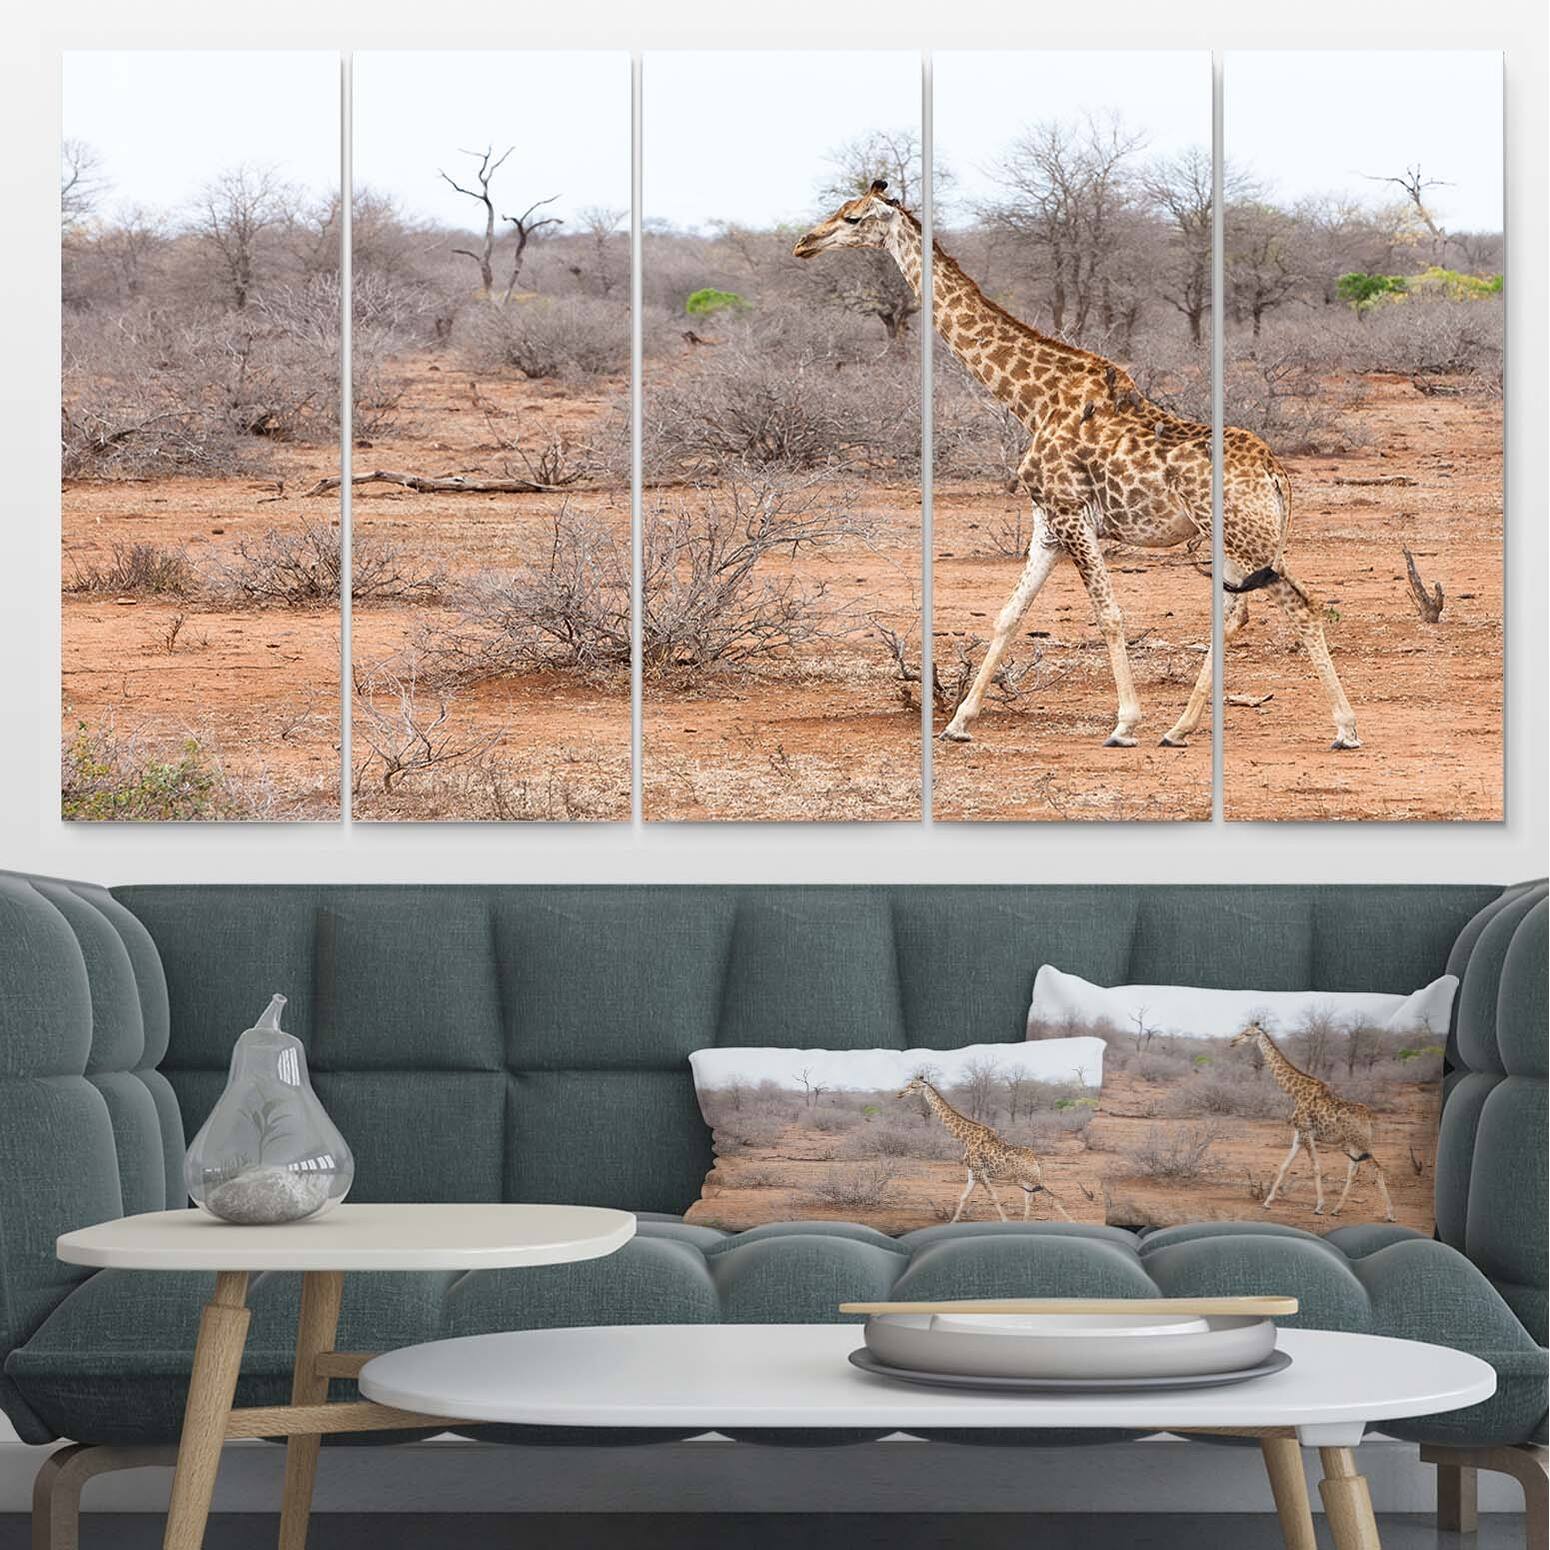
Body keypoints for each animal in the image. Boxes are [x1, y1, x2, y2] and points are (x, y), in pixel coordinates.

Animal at [792, 181, 1360, 751]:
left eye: (853, 217)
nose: (803, 243)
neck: (1033, 401)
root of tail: (1276, 475)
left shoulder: (1071, 515)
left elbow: (1108, 615)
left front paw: (1125, 724)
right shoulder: (1047, 525)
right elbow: (1008, 615)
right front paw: (958, 723)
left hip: (1247, 538)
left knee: (1301, 606)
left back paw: (1344, 728)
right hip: (1235, 540)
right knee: (1237, 610)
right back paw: (1180, 728)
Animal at [896, 1076, 1071, 1223]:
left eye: (913, 1086)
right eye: (909, 1084)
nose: (899, 1094)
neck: (965, 1137)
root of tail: (1037, 1160)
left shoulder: (980, 1172)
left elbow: (993, 1197)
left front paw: (1005, 1221)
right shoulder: (972, 1172)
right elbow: (964, 1197)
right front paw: (952, 1221)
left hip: (1032, 1178)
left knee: (1052, 1197)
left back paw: (1071, 1222)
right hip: (1027, 1180)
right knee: (1030, 1199)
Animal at [1229, 1022, 1394, 1221]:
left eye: (1248, 1034)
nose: (1232, 1042)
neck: (1295, 1092)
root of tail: (1369, 1117)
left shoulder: (1307, 1132)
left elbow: (1315, 1167)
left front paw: (1319, 1206)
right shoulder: (1299, 1133)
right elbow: (1285, 1165)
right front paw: (1267, 1202)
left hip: (1360, 1141)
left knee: (1376, 1168)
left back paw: (1390, 1213)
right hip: (1354, 1143)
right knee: (1353, 1171)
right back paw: (1337, 1209)